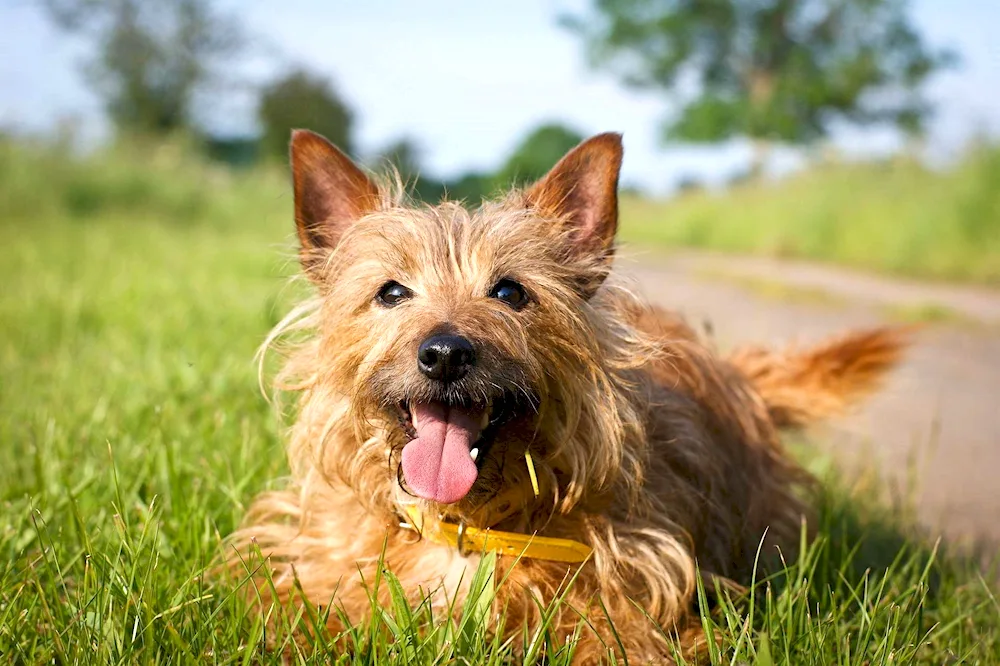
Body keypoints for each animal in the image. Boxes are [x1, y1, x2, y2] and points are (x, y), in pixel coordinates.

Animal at [230, 128, 912, 660]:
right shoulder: (312, 572)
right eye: (392, 292)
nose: (445, 353)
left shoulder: (636, 610)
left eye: (510, 292)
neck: (469, 525)